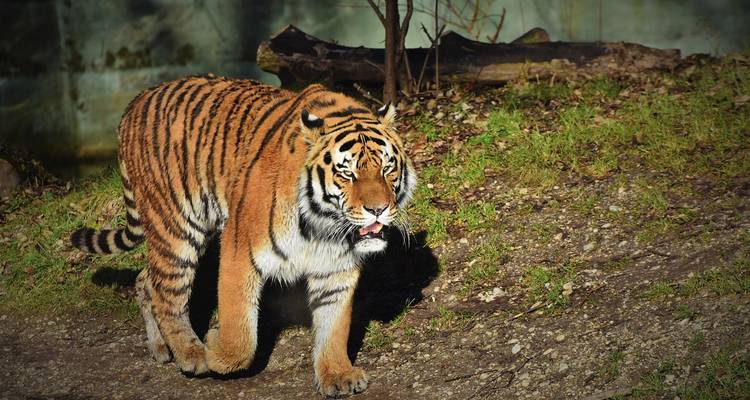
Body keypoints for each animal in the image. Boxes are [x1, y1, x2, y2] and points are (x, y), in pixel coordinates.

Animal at [70, 75, 416, 396]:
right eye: (347, 173)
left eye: (387, 168)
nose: (378, 209)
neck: (323, 224)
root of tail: (137, 101)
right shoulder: (240, 250)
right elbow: (241, 334)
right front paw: (215, 349)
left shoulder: (336, 268)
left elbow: (334, 326)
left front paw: (337, 374)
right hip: (177, 228)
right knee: (167, 294)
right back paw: (191, 354)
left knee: (146, 279)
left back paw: (161, 348)